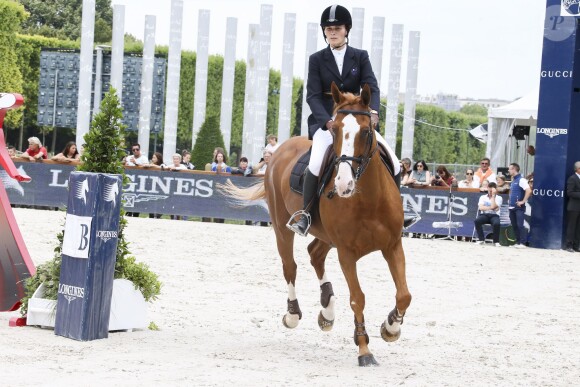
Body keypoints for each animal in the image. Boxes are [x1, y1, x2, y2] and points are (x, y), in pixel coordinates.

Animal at [220, 82, 410, 366]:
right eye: (334, 130)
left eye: (366, 131)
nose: (343, 185)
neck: (369, 199)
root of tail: (280, 149)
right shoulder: (346, 254)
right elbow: (358, 298)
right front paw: (364, 349)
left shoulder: (393, 245)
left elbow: (404, 295)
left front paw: (390, 328)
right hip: (282, 228)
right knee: (290, 267)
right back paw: (293, 314)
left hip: (326, 236)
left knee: (315, 254)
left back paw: (327, 311)